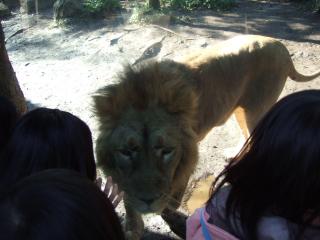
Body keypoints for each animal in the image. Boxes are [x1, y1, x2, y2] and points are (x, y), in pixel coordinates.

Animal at [92, 34, 320, 239]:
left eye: (167, 151)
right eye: (126, 152)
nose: (148, 200)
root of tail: (281, 47)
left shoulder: (185, 161)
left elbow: (171, 199)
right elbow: (127, 194)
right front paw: (133, 226)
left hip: (256, 110)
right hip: (241, 109)